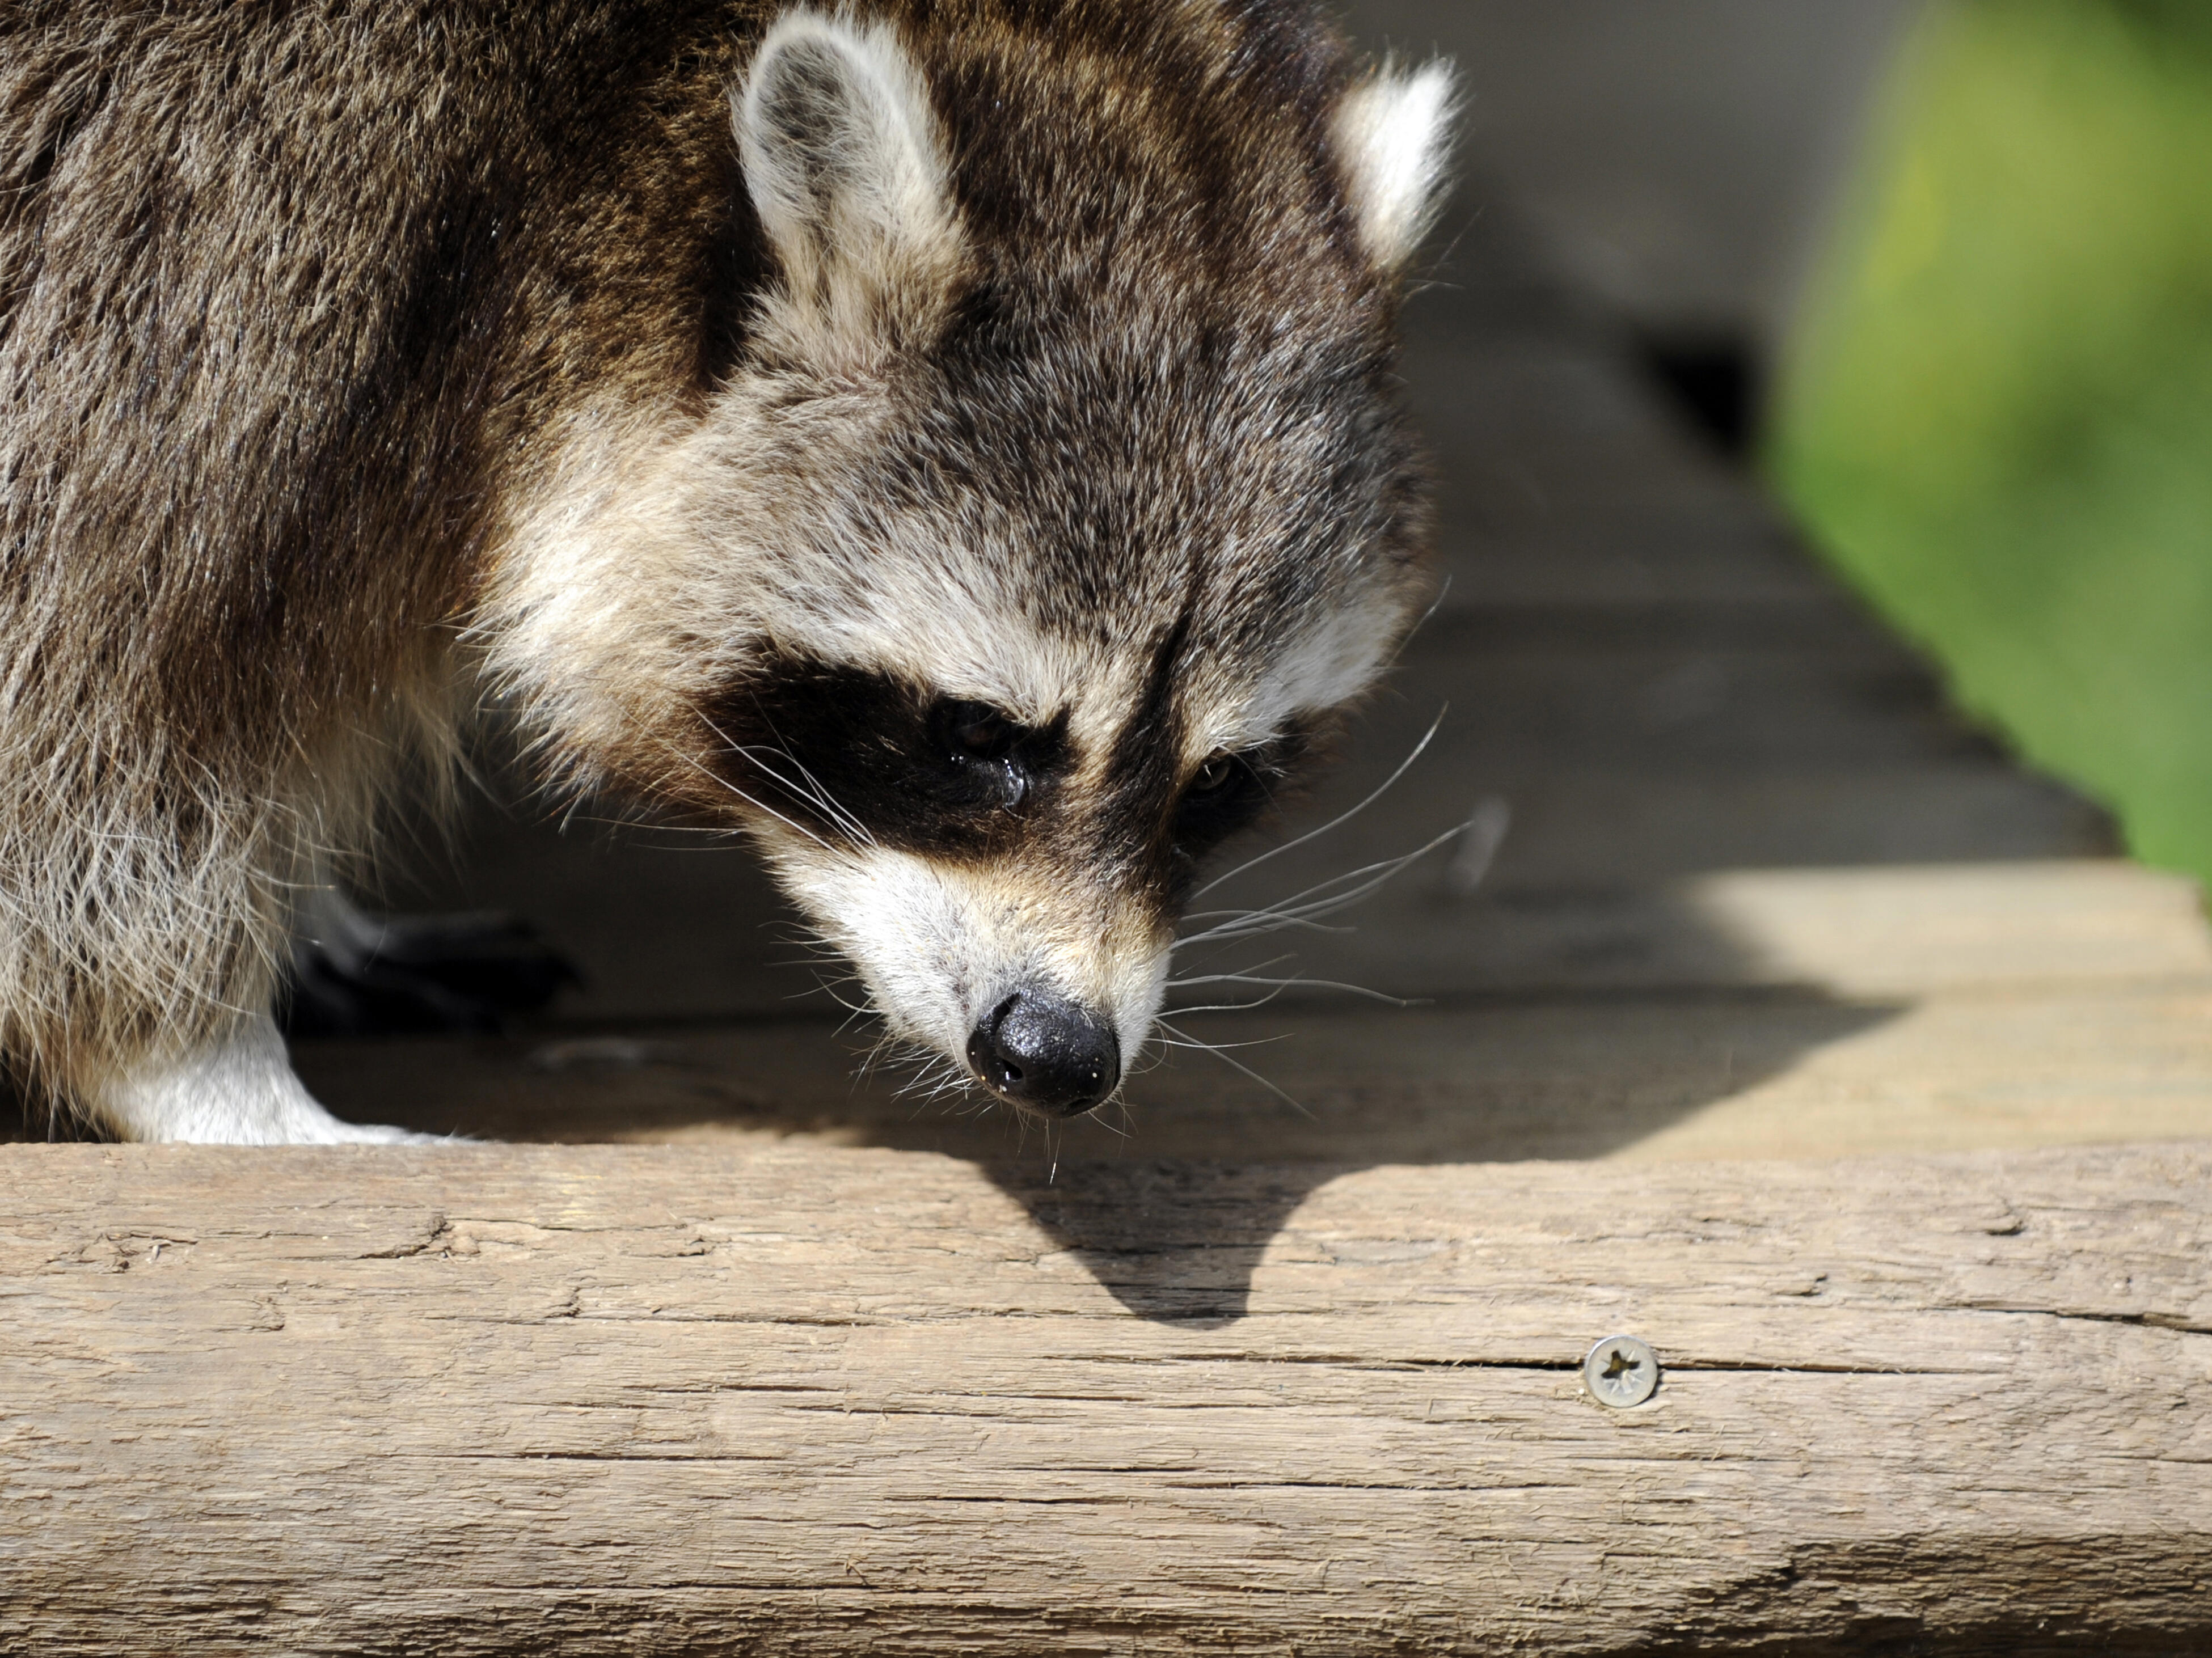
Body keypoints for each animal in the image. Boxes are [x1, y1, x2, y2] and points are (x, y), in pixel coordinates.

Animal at [0, 0, 1452, 1142]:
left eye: (1222, 781)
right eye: (977, 733)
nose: (1057, 1051)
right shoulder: (211, 201)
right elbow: (83, 691)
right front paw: (203, 1069)